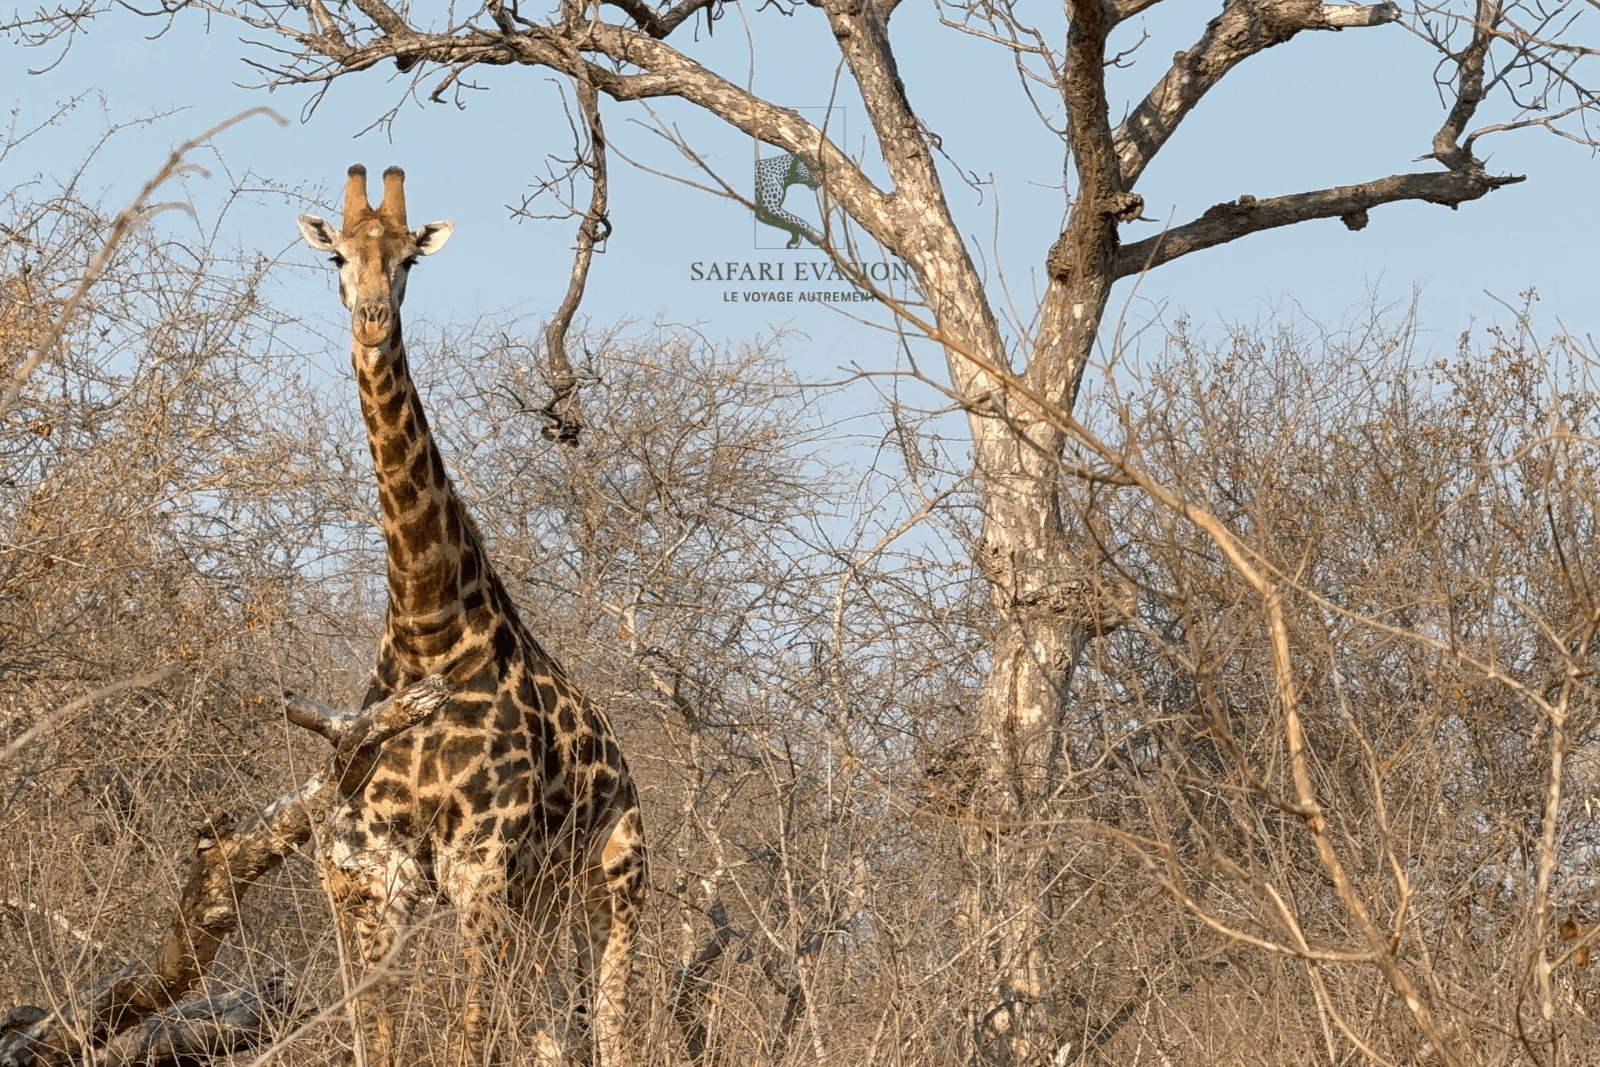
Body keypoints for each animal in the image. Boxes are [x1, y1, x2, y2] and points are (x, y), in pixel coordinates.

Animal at [296, 165, 645, 1067]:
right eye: (337, 256)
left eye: (409, 258)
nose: (372, 318)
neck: (428, 627)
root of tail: (626, 764)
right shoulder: (380, 873)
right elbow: (381, 1035)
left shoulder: (480, 868)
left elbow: (468, 1031)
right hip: (543, 908)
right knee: (555, 1032)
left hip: (615, 881)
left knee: (613, 1027)